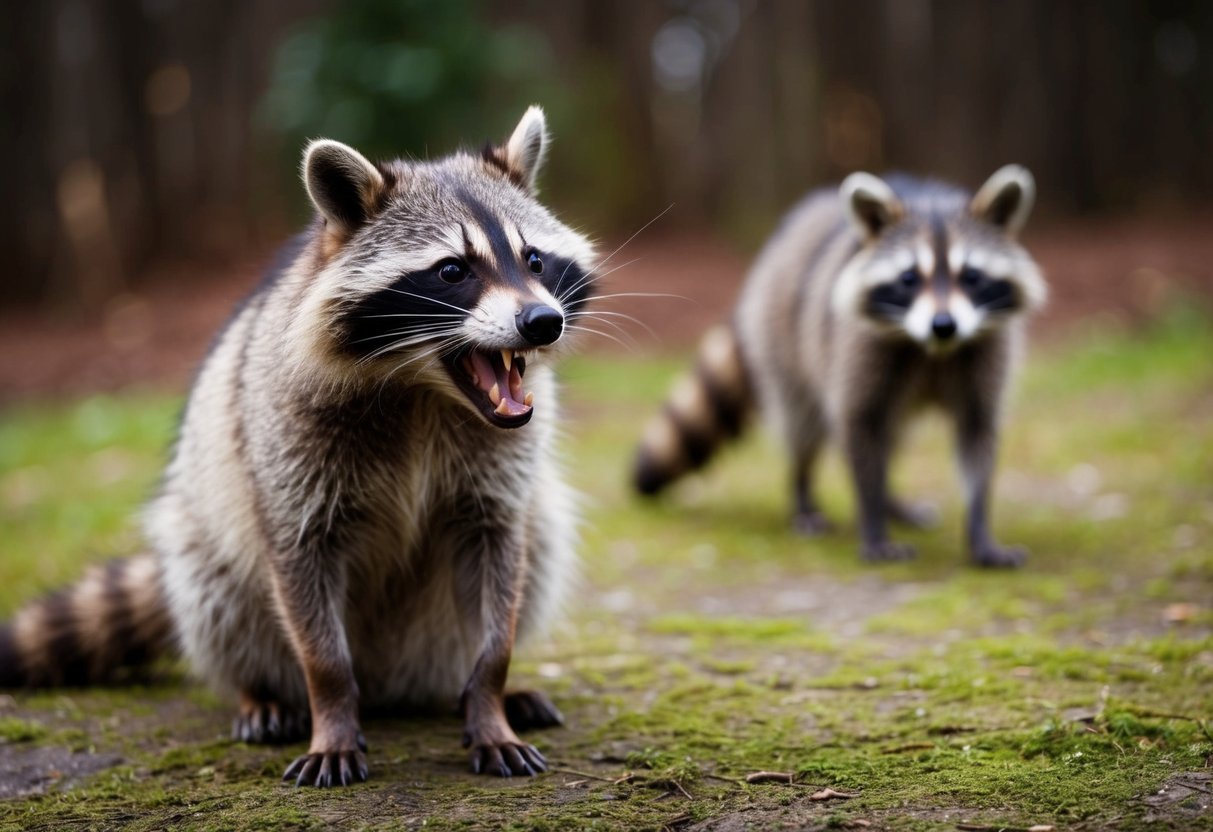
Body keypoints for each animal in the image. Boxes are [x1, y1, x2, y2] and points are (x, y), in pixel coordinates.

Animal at [0, 107, 598, 786]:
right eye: (452, 271)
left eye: (535, 260)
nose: (542, 322)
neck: (424, 392)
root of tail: (390, 684)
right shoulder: (289, 454)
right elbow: (305, 586)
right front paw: (329, 709)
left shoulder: (495, 480)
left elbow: (499, 572)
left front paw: (491, 696)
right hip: (207, 536)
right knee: (213, 589)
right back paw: (259, 690)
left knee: (540, 536)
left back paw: (469, 691)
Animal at [634, 167, 1046, 567]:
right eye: (909, 278)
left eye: (972, 276)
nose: (943, 324)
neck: (933, 349)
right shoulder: (855, 348)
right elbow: (858, 427)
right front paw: (873, 522)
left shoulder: (985, 350)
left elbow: (977, 436)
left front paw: (980, 530)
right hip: (782, 340)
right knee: (803, 425)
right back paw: (803, 491)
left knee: (893, 437)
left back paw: (893, 502)